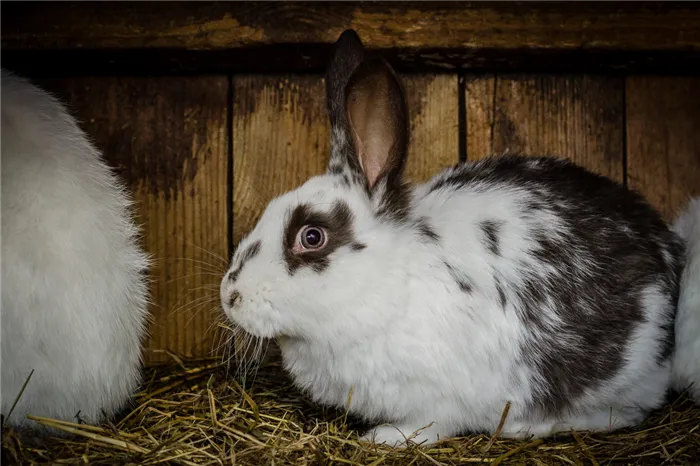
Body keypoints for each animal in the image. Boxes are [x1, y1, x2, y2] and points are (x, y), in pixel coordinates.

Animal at [219, 30, 700, 448]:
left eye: (312, 236)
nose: (230, 296)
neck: (389, 284)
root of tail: (669, 248)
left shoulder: (442, 397)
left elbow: (431, 423)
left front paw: (385, 438)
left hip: (628, 374)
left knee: (630, 410)